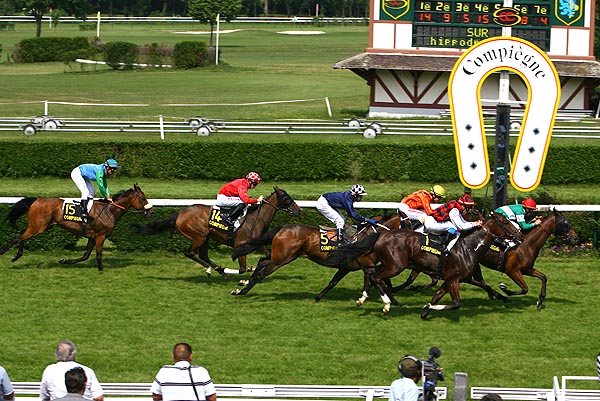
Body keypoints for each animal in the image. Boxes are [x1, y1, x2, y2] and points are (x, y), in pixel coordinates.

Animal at [1, 183, 155, 270]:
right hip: (37, 227)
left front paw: (65, 261)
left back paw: (17, 255)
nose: (151, 212)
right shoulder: (100, 236)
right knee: (17, 237)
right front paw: (101, 270)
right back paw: (5, 252)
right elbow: (98, 255)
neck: (109, 211)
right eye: (143, 198)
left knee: (21, 234)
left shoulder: (92, 237)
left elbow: (85, 256)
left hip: (41, 226)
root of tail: (36, 199)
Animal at [132, 187, 298, 276]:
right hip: (198, 236)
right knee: (190, 253)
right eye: (287, 199)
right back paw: (211, 269)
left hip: (206, 237)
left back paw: (218, 270)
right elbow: (242, 269)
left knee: (203, 255)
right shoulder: (240, 245)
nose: (299, 210)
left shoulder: (255, 244)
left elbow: (267, 254)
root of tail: (179, 213)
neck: (255, 218)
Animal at [227, 212, 406, 300]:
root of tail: (283, 227)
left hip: (278, 256)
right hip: (282, 259)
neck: (368, 236)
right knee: (262, 273)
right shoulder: (365, 265)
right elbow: (379, 280)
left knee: (261, 262)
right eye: (409, 222)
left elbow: (333, 282)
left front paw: (319, 297)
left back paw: (243, 285)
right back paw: (242, 291)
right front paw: (393, 300)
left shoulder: (348, 267)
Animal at [326, 211, 524, 318]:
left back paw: (364, 298)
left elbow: (437, 295)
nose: (521, 236)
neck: (468, 247)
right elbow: (456, 303)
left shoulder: (450, 279)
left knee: (371, 274)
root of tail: (381, 234)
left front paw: (425, 310)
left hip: (389, 264)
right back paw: (387, 303)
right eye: (505, 221)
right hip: (395, 266)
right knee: (375, 277)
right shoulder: (454, 279)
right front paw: (427, 306)